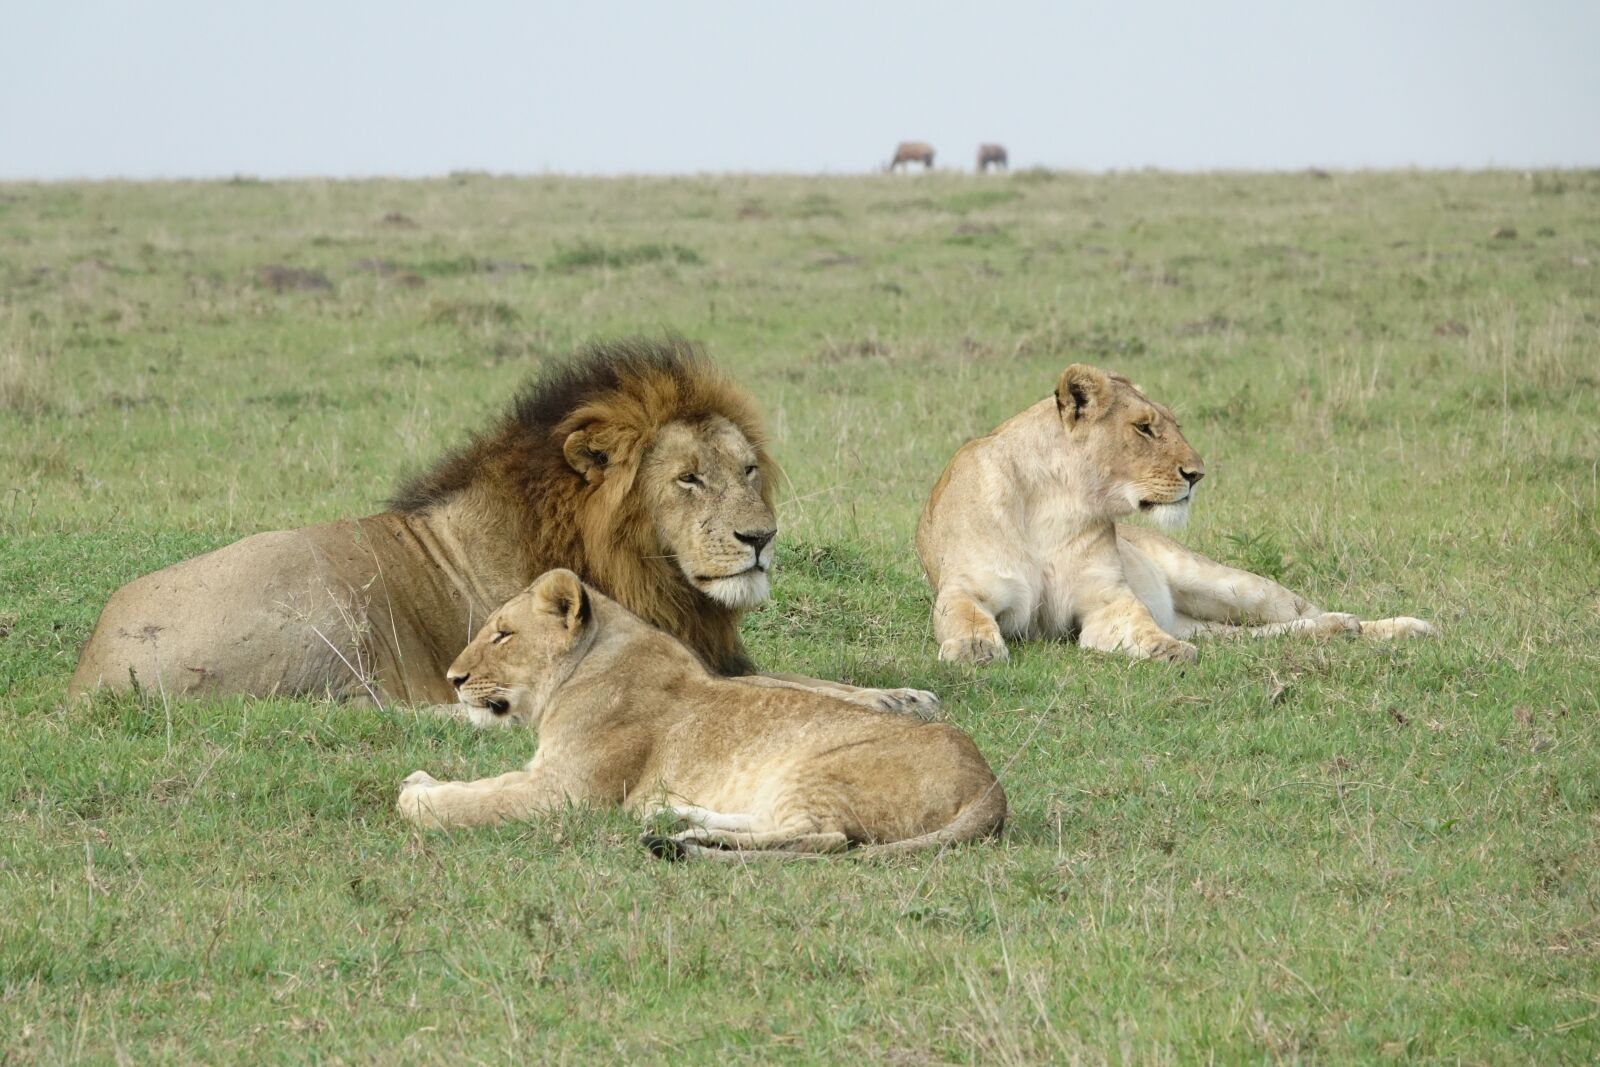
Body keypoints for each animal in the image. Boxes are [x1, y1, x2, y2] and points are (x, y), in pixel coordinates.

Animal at [70, 338, 934, 713]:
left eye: (748, 470)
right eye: (688, 478)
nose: (760, 538)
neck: (645, 570)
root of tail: (89, 670)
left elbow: (808, 680)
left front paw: (901, 694)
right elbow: (785, 689)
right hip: (325, 599)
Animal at [396, 569, 1007, 860]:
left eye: (503, 634)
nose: (453, 680)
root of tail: (991, 788)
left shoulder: (564, 793)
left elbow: (475, 802)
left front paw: (416, 796)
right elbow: (480, 788)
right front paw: (420, 779)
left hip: (817, 771)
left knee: (825, 838)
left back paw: (684, 837)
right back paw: (677, 820)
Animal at [916, 363, 1436, 665]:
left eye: (1172, 425)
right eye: (1144, 428)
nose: (1197, 474)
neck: (1056, 501)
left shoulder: (1106, 599)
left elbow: (1137, 622)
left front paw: (1164, 650)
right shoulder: (968, 587)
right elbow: (964, 615)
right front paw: (975, 649)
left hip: (1224, 583)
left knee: (1301, 610)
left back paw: (1391, 626)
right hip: (1212, 621)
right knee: (1254, 636)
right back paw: (1342, 629)